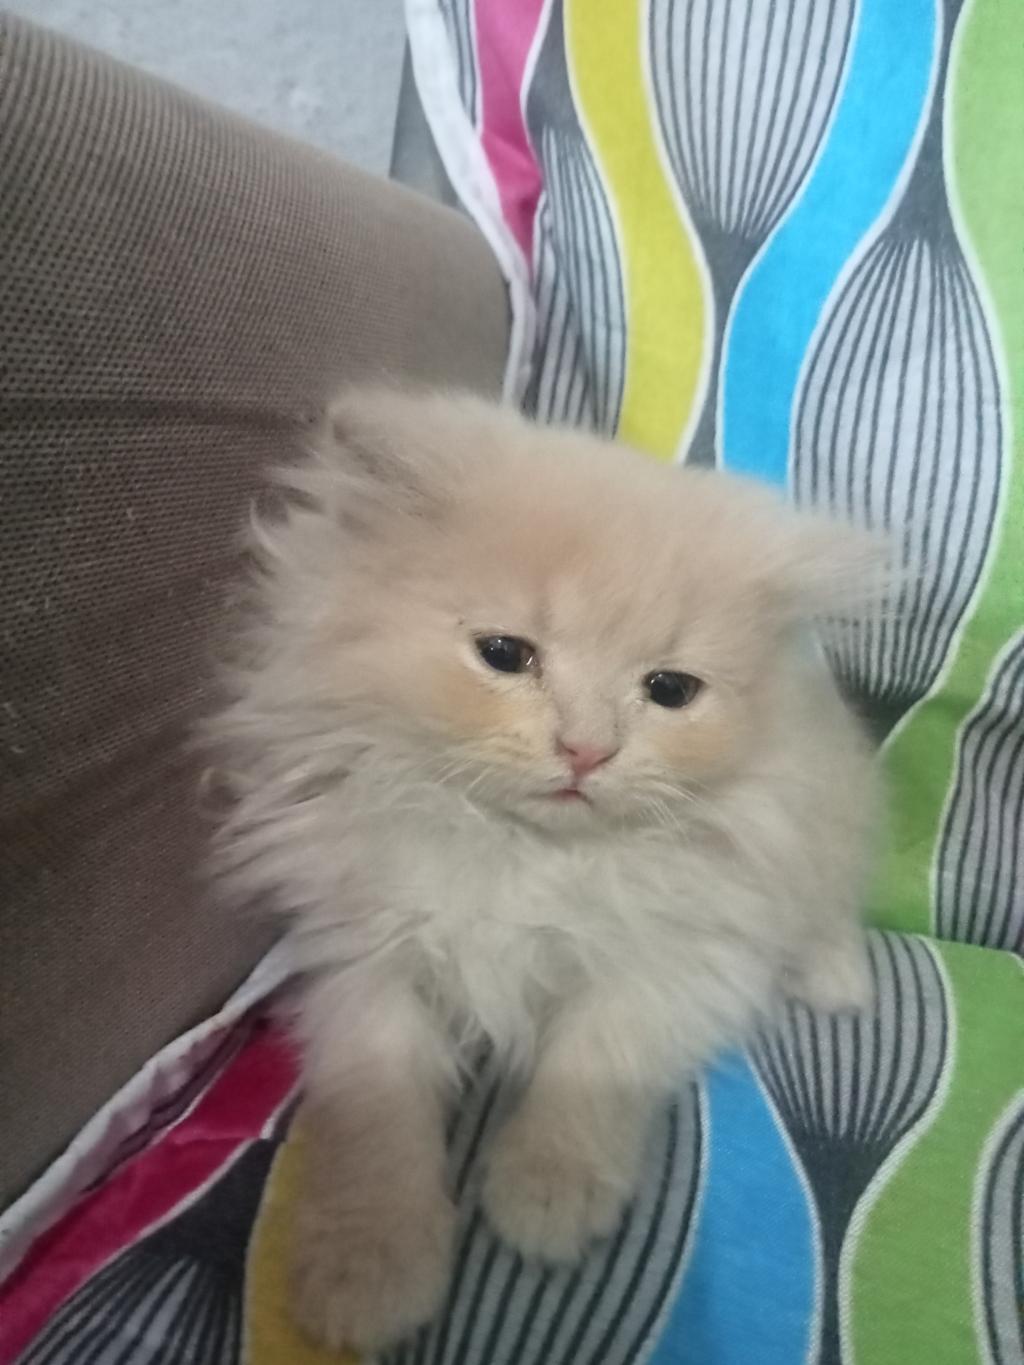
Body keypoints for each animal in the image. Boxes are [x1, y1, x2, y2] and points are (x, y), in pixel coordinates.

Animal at [210, 387, 880, 1353]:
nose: (586, 750)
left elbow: (588, 1067)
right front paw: (367, 1275)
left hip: (822, 822)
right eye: (504, 654)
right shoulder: (367, 959)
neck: (524, 853)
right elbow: (381, 1121)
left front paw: (545, 1201)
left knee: (829, 906)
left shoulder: (683, 959)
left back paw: (837, 984)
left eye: (670, 690)